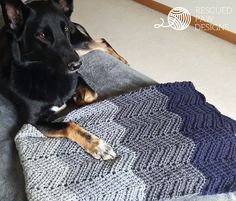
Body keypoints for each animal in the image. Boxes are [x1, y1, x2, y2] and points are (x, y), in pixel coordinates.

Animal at [0, 0, 128, 160]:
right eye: (41, 35)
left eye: (65, 28)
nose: (76, 65)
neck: (47, 74)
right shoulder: (35, 122)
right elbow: (69, 124)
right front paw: (98, 146)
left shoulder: (77, 76)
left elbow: (91, 96)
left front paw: (76, 100)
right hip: (77, 49)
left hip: (76, 45)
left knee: (100, 42)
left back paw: (122, 60)